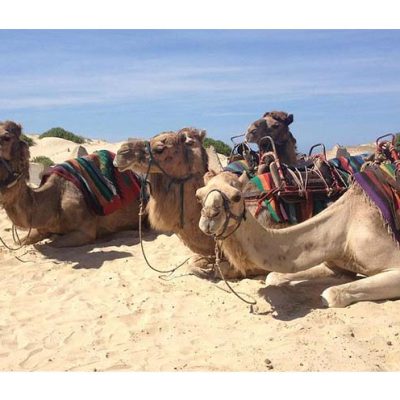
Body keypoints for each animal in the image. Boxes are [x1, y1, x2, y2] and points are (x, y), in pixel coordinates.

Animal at [196, 170, 400, 307]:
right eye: (199, 195)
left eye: (237, 196)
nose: (209, 218)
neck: (347, 224)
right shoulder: (335, 261)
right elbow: (273, 276)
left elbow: (330, 295)